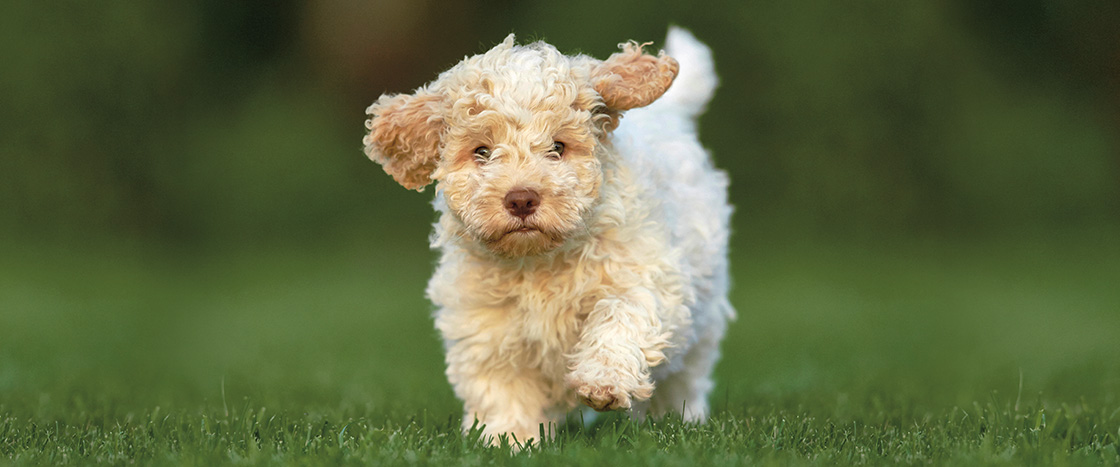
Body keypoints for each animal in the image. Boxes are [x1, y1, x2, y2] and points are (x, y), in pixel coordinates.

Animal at [365, 26, 734, 443]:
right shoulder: (487, 322)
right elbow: (503, 387)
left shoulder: (646, 275)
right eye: (482, 151)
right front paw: (508, 439)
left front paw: (603, 380)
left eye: (558, 147)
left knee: (686, 375)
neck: (539, 258)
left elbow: (620, 317)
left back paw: (677, 418)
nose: (521, 199)